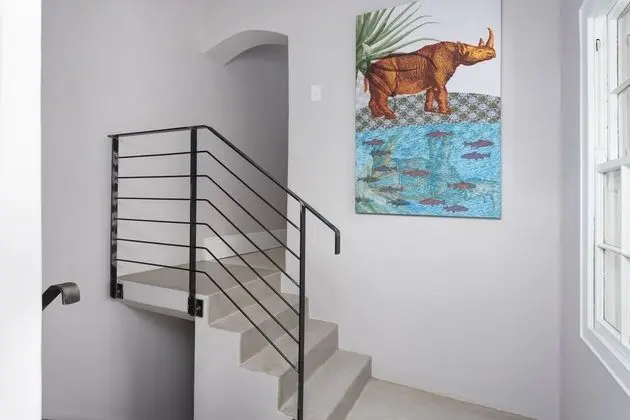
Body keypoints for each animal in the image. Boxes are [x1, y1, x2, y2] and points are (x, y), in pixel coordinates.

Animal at [364, 28, 496, 119]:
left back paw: (377, 116)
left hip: (376, 74)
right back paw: (392, 117)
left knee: (375, 93)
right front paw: (447, 112)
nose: (493, 53)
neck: (455, 52)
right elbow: (442, 93)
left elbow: (431, 93)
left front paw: (430, 110)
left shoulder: (432, 80)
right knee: (384, 93)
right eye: (479, 51)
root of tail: (369, 69)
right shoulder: (439, 79)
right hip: (385, 72)